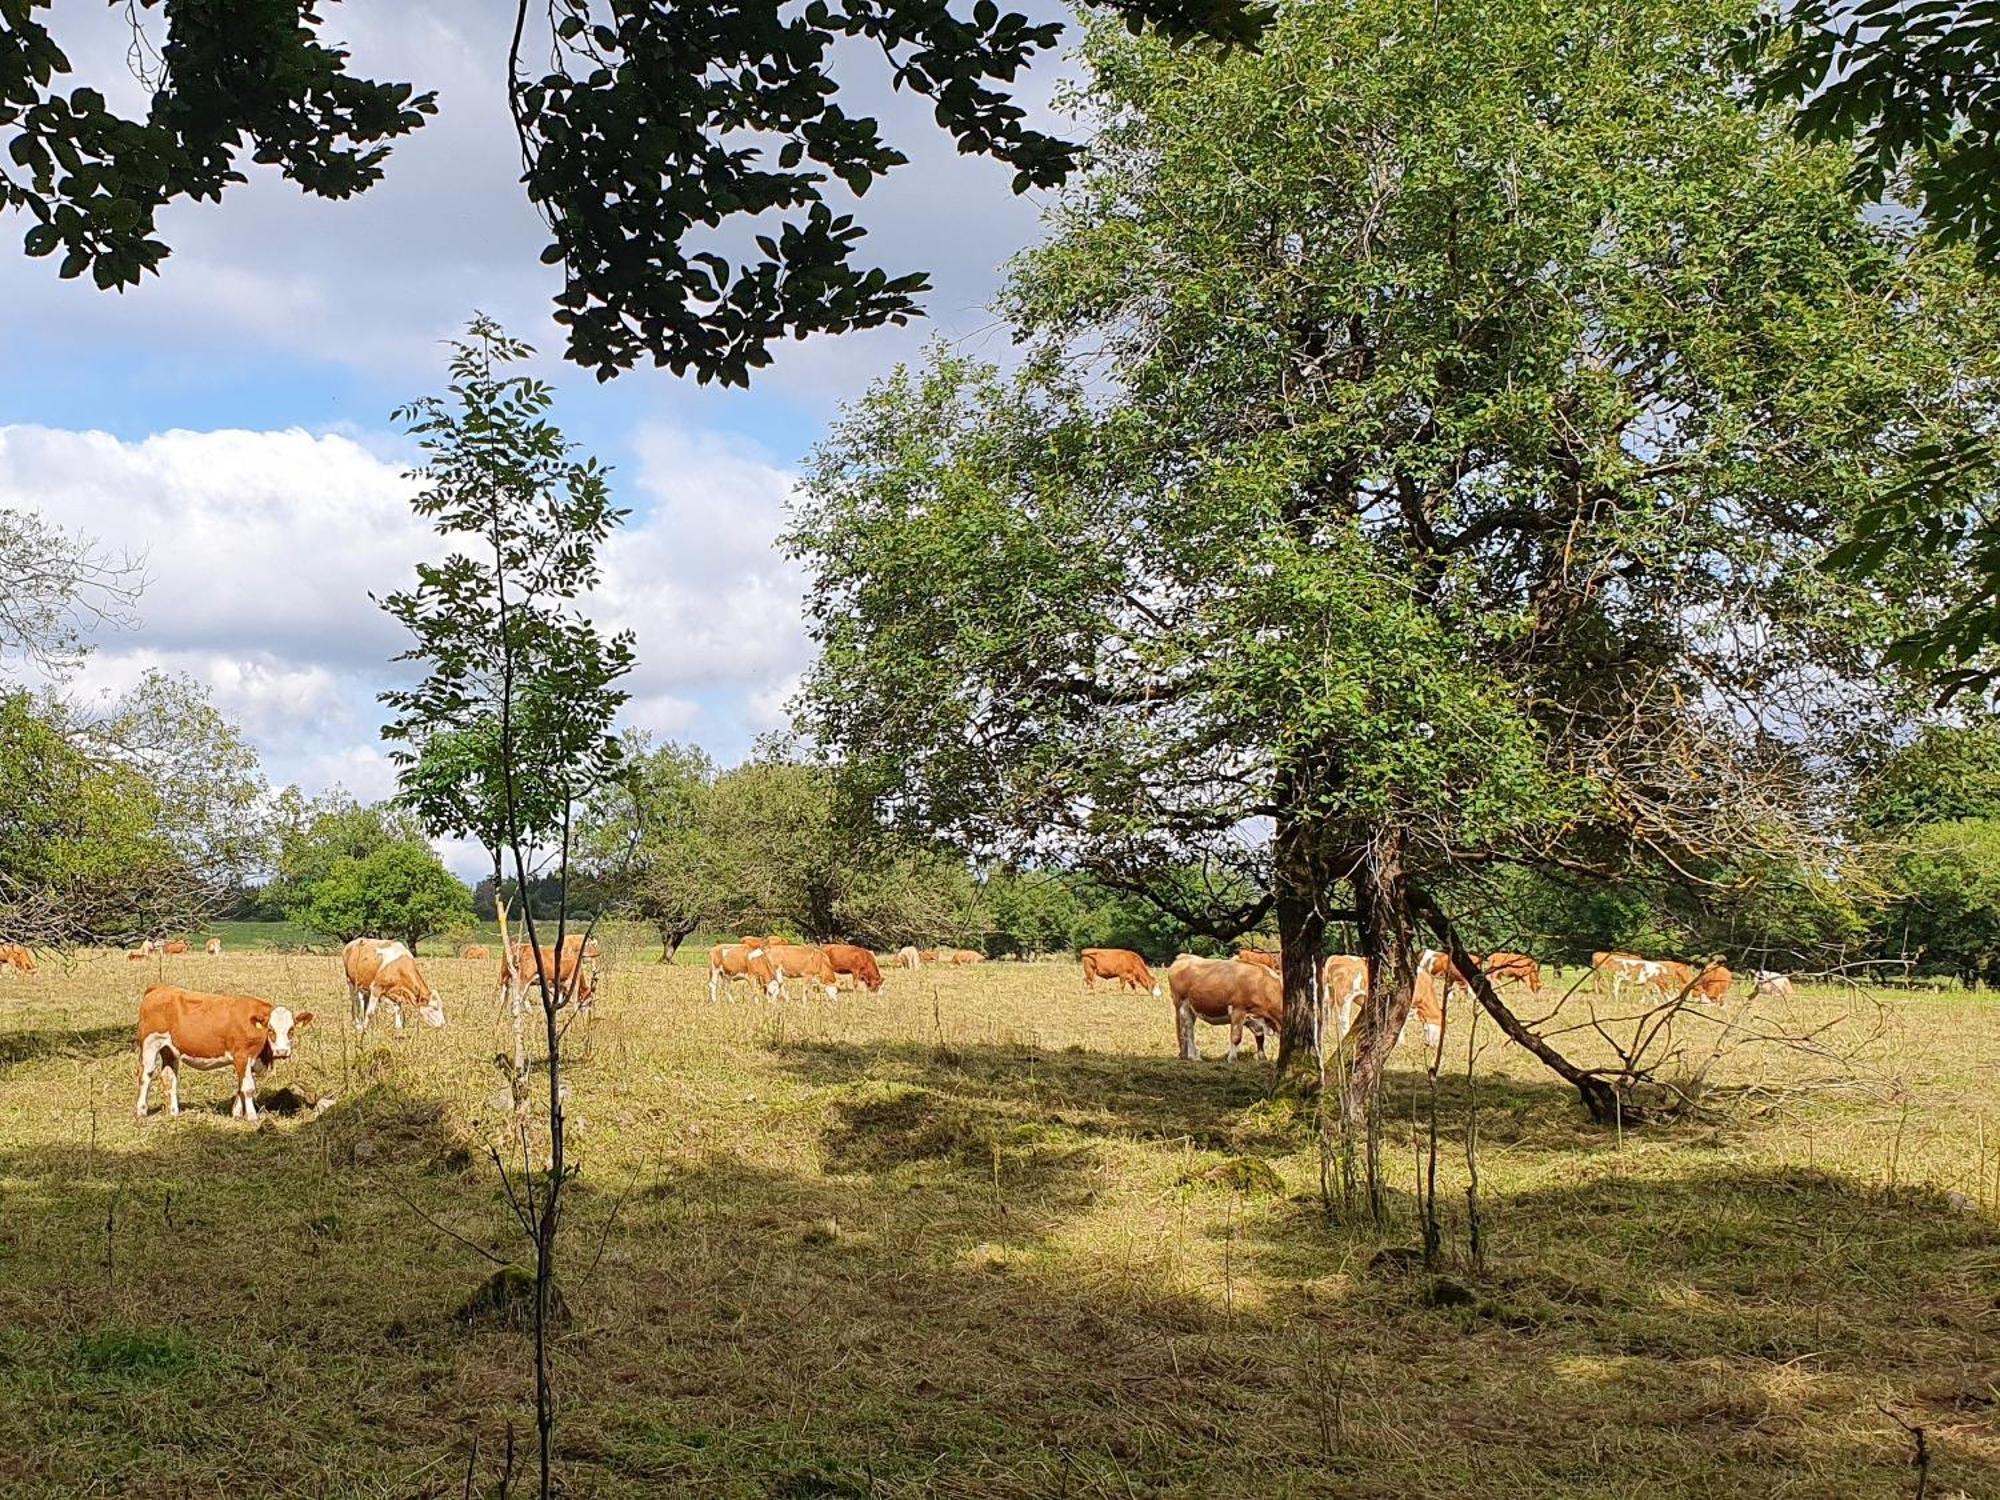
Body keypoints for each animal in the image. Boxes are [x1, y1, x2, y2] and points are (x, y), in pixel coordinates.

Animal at [135, 988, 310, 1128]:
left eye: (291, 1030)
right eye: (271, 1030)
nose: (282, 1051)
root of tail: (159, 988)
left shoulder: (248, 1062)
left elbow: (241, 1086)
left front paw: (237, 1113)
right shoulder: (241, 1056)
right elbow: (248, 1088)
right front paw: (252, 1117)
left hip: (170, 1050)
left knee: (169, 1078)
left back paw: (173, 1112)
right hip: (150, 1044)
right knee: (146, 1076)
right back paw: (141, 1111)